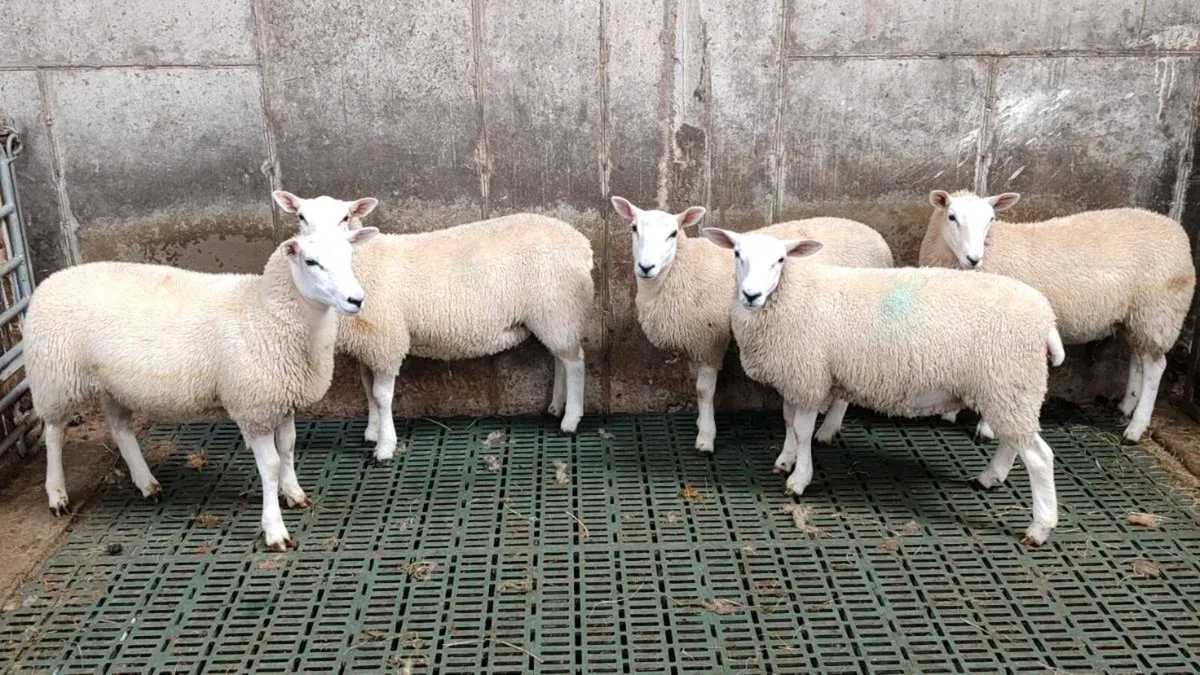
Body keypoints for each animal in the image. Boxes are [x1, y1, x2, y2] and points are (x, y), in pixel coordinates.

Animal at [27, 219, 378, 551]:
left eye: (350, 256)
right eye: (311, 262)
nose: (356, 300)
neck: (264, 310)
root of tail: (51, 279)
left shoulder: (280, 398)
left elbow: (288, 447)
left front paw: (294, 493)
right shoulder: (253, 406)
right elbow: (271, 465)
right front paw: (274, 529)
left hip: (115, 384)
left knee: (120, 428)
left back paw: (146, 483)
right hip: (55, 378)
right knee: (54, 434)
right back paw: (57, 494)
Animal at [272, 191, 595, 465]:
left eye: (345, 217)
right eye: (301, 217)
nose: (320, 247)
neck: (364, 260)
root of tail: (581, 243)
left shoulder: (388, 339)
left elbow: (382, 396)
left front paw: (385, 447)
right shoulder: (368, 343)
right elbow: (367, 389)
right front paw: (372, 432)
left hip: (557, 307)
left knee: (575, 361)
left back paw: (570, 420)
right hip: (553, 314)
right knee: (560, 357)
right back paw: (557, 406)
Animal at [609, 196, 894, 453]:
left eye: (673, 233)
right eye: (634, 228)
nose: (646, 267)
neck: (681, 267)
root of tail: (878, 239)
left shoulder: (709, 339)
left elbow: (703, 390)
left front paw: (706, 436)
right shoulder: (694, 342)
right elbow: (695, 380)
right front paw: (701, 422)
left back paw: (827, 430)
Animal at [703, 227, 1066, 545]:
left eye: (780, 260)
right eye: (737, 254)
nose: (751, 295)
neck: (789, 295)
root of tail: (1046, 320)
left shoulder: (808, 375)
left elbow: (803, 431)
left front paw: (798, 479)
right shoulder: (796, 377)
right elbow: (789, 422)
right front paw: (784, 460)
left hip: (1009, 382)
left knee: (1040, 457)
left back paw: (1040, 527)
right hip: (1008, 390)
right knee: (1014, 442)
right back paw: (990, 477)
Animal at [920, 190, 1196, 443]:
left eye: (991, 219)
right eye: (952, 217)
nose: (974, 259)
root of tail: (1176, 229)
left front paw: (987, 429)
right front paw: (950, 414)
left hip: (1159, 312)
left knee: (1155, 368)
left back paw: (1135, 428)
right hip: (1136, 318)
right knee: (1138, 359)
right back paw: (1126, 406)